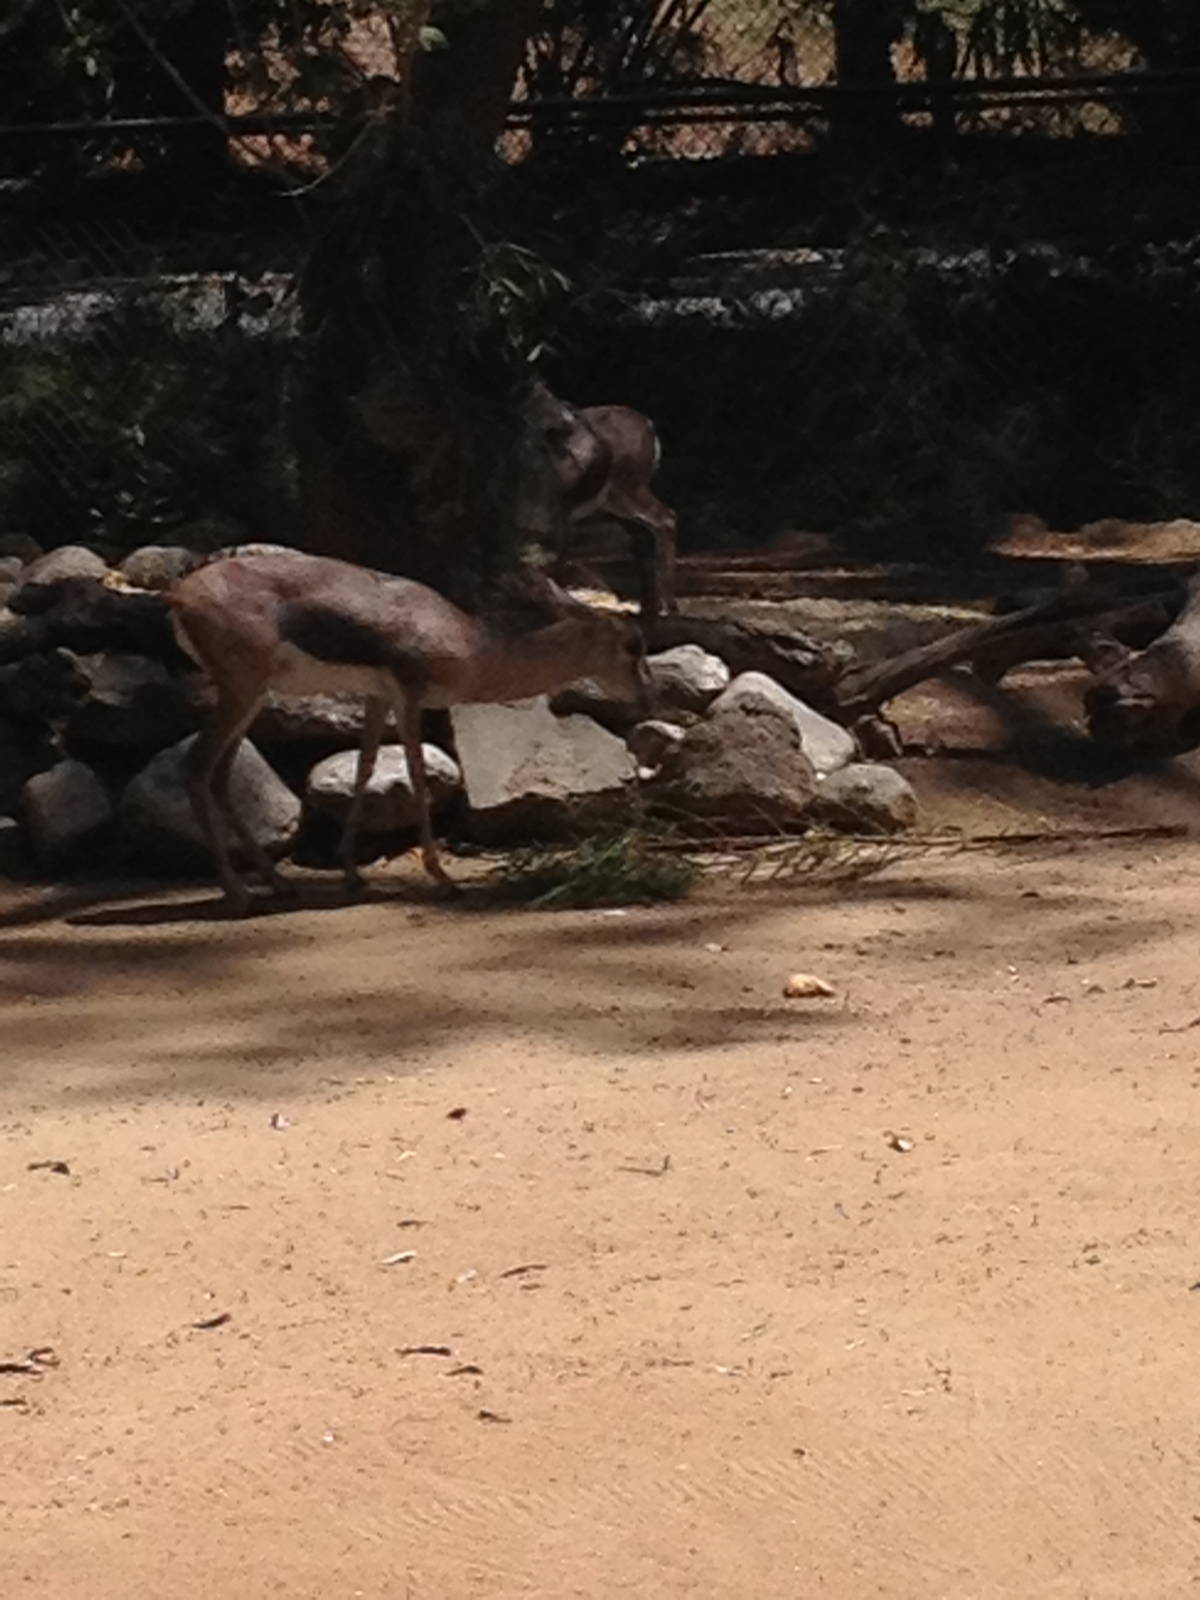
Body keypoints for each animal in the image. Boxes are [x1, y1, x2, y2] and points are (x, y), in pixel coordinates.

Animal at [167, 550, 649, 914]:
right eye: (632, 644)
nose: (645, 696)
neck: (473, 645)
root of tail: (180, 595)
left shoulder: (377, 696)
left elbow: (364, 767)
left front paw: (352, 873)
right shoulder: (410, 695)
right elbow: (417, 773)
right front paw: (443, 878)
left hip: (251, 696)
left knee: (219, 775)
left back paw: (280, 884)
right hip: (240, 691)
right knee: (196, 768)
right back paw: (238, 893)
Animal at [521, 381, 678, 621]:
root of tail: (649, 426)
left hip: (629, 486)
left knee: (666, 519)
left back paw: (667, 606)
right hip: (614, 499)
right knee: (650, 529)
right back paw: (653, 607)